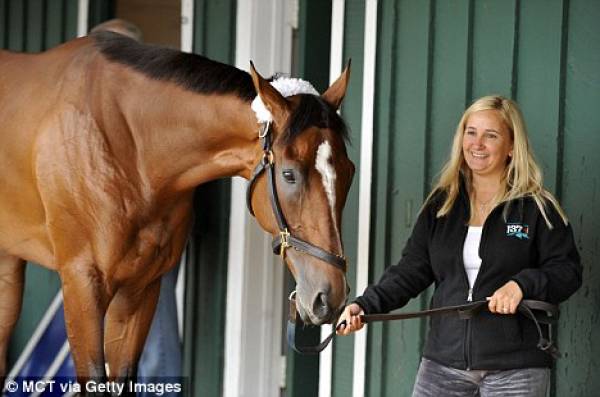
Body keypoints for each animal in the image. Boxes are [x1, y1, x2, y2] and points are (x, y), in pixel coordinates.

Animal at [0, 32, 354, 388]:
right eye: (289, 174)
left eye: (349, 172)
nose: (330, 295)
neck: (131, 146)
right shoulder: (81, 285)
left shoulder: (142, 289)